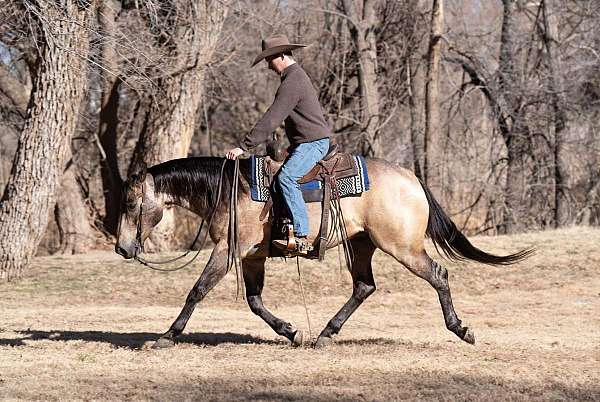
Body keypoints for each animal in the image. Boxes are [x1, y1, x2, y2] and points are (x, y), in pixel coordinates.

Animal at [115, 156, 532, 348]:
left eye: (132, 204)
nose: (121, 248)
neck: (230, 190)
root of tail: (412, 179)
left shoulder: (228, 251)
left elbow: (197, 290)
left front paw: (166, 336)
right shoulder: (252, 256)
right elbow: (254, 301)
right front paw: (291, 331)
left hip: (401, 246)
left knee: (438, 275)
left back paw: (461, 329)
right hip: (362, 245)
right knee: (364, 286)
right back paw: (326, 333)